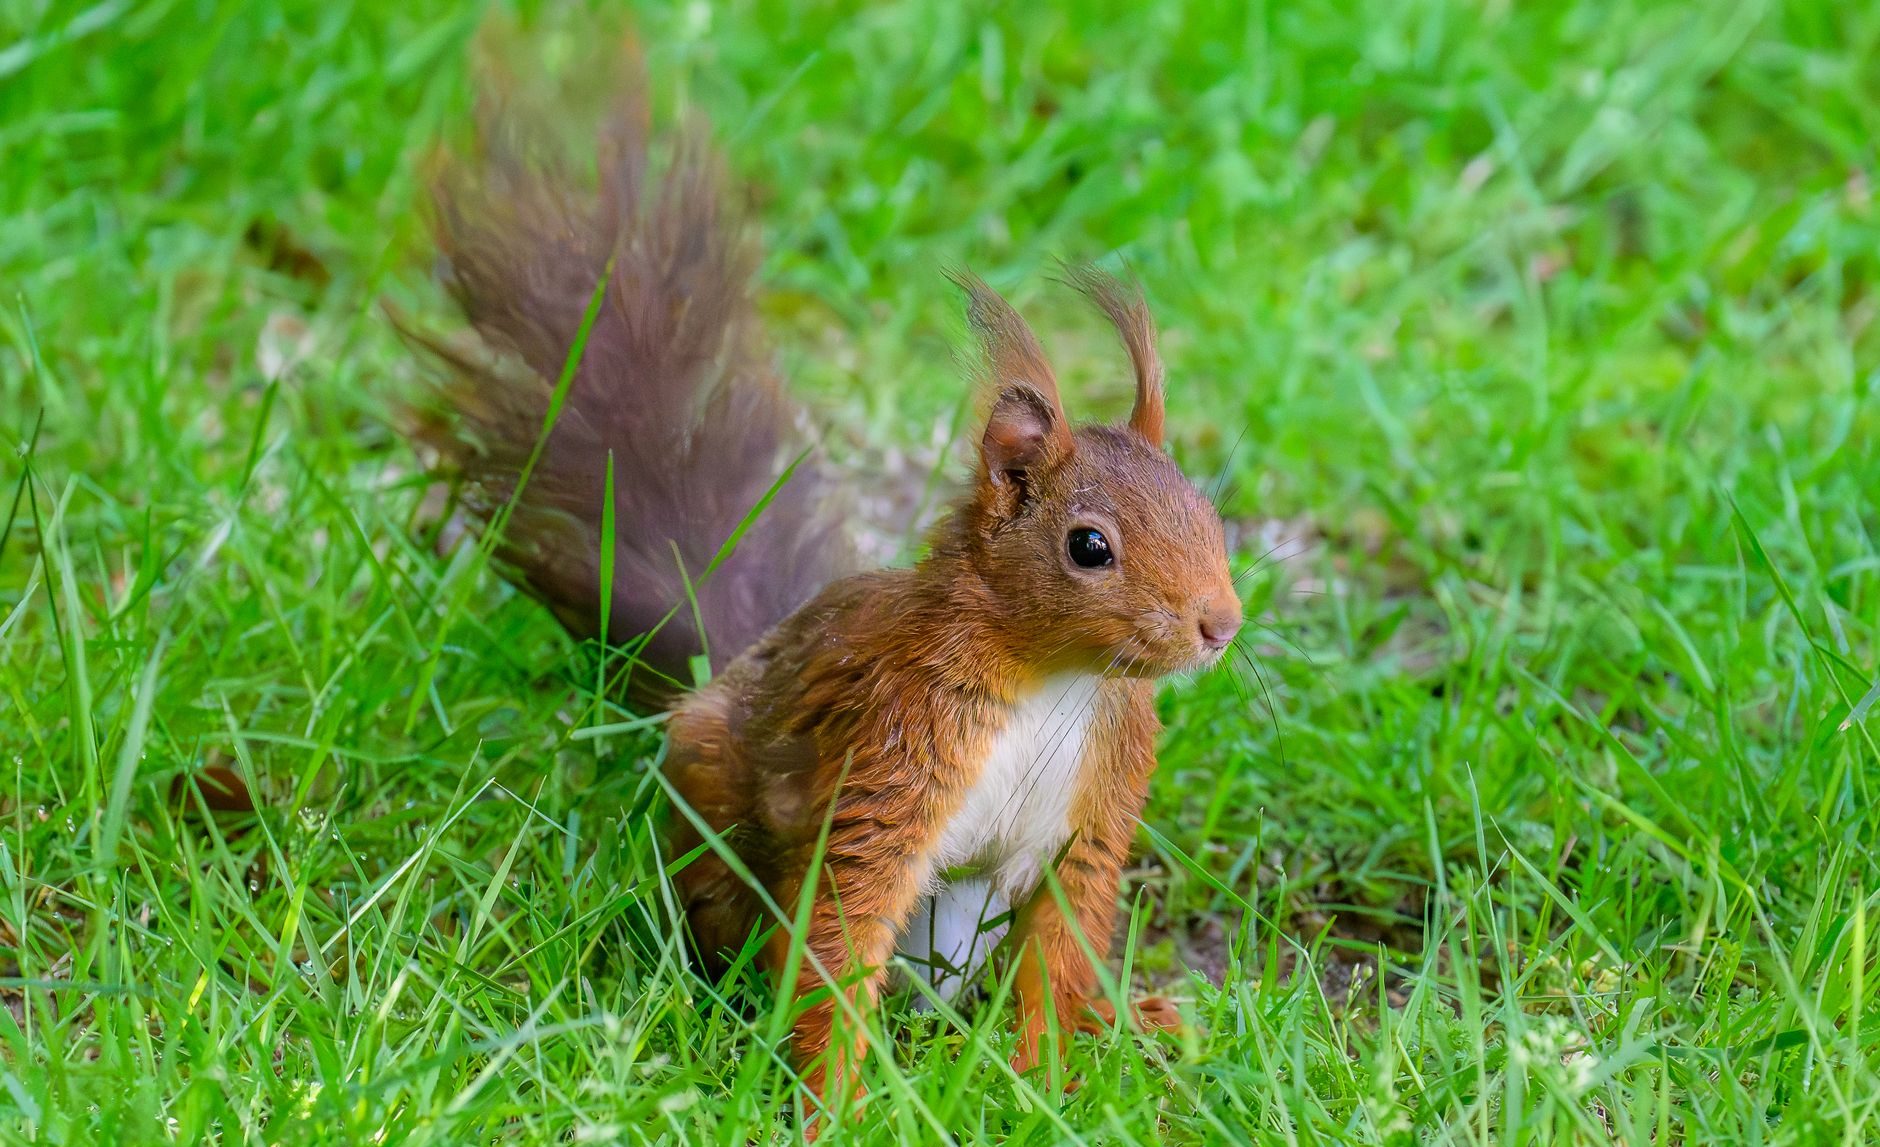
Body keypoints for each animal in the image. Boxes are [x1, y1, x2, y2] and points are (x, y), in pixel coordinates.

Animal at [400, 56, 1242, 1123]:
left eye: (1212, 516)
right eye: (1090, 546)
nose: (1221, 623)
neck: (1061, 682)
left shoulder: (1095, 811)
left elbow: (1059, 952)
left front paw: (1043, 1085)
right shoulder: (893, 754)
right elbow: (841, 929)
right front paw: (829, 1103)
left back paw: (1138, 1021)